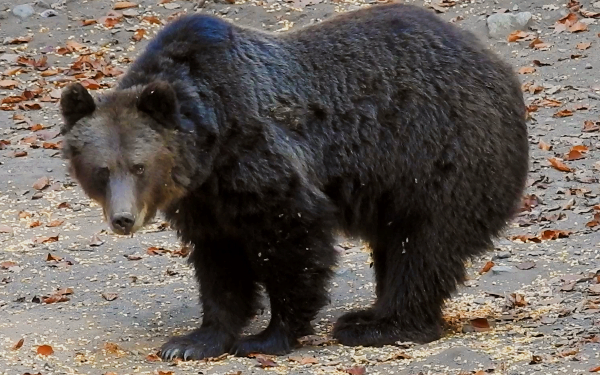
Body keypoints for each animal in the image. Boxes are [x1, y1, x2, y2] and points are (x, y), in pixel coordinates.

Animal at [59, 2, 528, 362]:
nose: (123, 219)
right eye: (102, 170)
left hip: (435, 155)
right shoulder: (205, 199)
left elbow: (293, 238)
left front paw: (268, 335)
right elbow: (219, 264)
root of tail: (501, 68)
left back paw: (379, 324)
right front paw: (194, 341)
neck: (210, 143)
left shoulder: (259, 158)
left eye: (138, 166)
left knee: (423, 246)